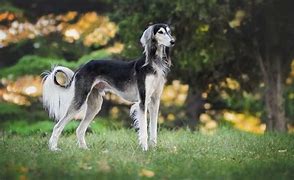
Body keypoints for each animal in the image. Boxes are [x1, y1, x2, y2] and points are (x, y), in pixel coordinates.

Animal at [41, 23, 175, 150]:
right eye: (161, 32)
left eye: (169, 31)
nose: (173, 41)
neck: (153, 64)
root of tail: (82, 67)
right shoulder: (143, 101)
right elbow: (144, 130)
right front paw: (145, 149)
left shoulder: (155, 101)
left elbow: (153, 128)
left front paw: (154, 149)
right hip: (79, 101)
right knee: (58, 126)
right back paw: (53, 148)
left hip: (95, 105)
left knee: (79, 129)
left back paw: (84, 149)